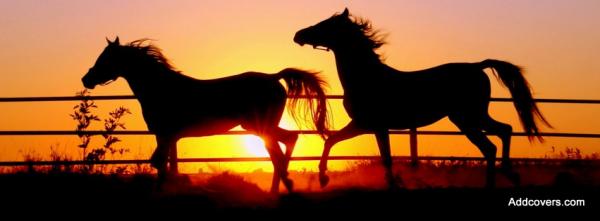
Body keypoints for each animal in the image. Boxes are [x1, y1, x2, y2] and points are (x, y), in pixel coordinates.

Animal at [82, 37, 330, 193]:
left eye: (105, 59)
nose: (86, 79)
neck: (161, 87)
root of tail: (273, 77)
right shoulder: (166, 136)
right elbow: (160, 163)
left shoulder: (164, 134)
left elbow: (160, 164)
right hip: (260, 127)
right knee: (288, 141)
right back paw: (281, 186)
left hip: (260, 127)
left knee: (280, 151)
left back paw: (285, 186)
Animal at [292, 9, 552, 188]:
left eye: (326, 25)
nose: (298, 34)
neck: (367, 77)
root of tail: (477, 66)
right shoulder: (366, 126)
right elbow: (332, 141)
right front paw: (324, 178)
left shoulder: (371, 125)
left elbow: (382, 157)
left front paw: (325, 178)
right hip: (472, 117)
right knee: (503, 132)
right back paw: (509, 174)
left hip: (467, 118)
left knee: (492, 144)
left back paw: (496, 180)